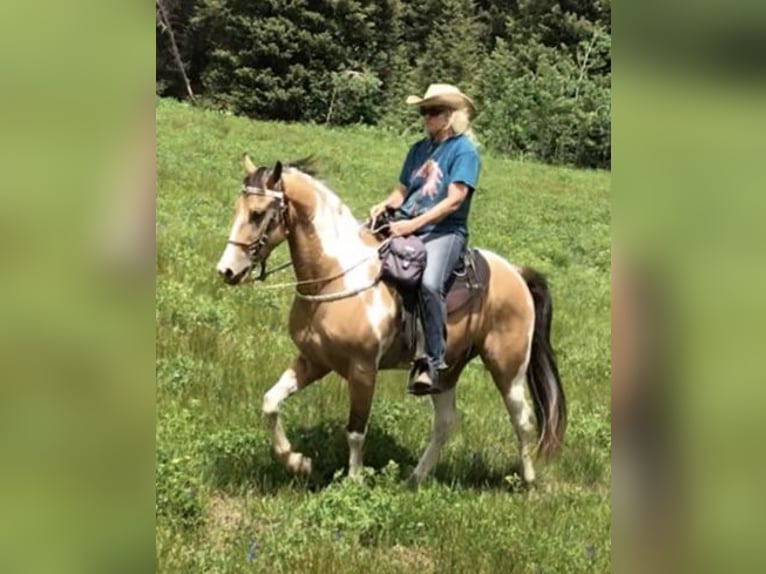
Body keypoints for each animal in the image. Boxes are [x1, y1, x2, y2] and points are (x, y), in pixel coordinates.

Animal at [215, 156, 566, 486]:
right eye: (236, 208)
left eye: (257, 213)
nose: (227, 270)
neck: (335, 277)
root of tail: (516, 273)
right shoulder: (314, 360)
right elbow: (270, 402)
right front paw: (297, 462)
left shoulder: (363, 369)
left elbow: (356, 431)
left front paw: (353, 482)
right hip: (447, 370)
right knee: (445, 423)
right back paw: (415, 478)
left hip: (508, 367)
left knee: (522, 418)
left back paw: (527, 480)